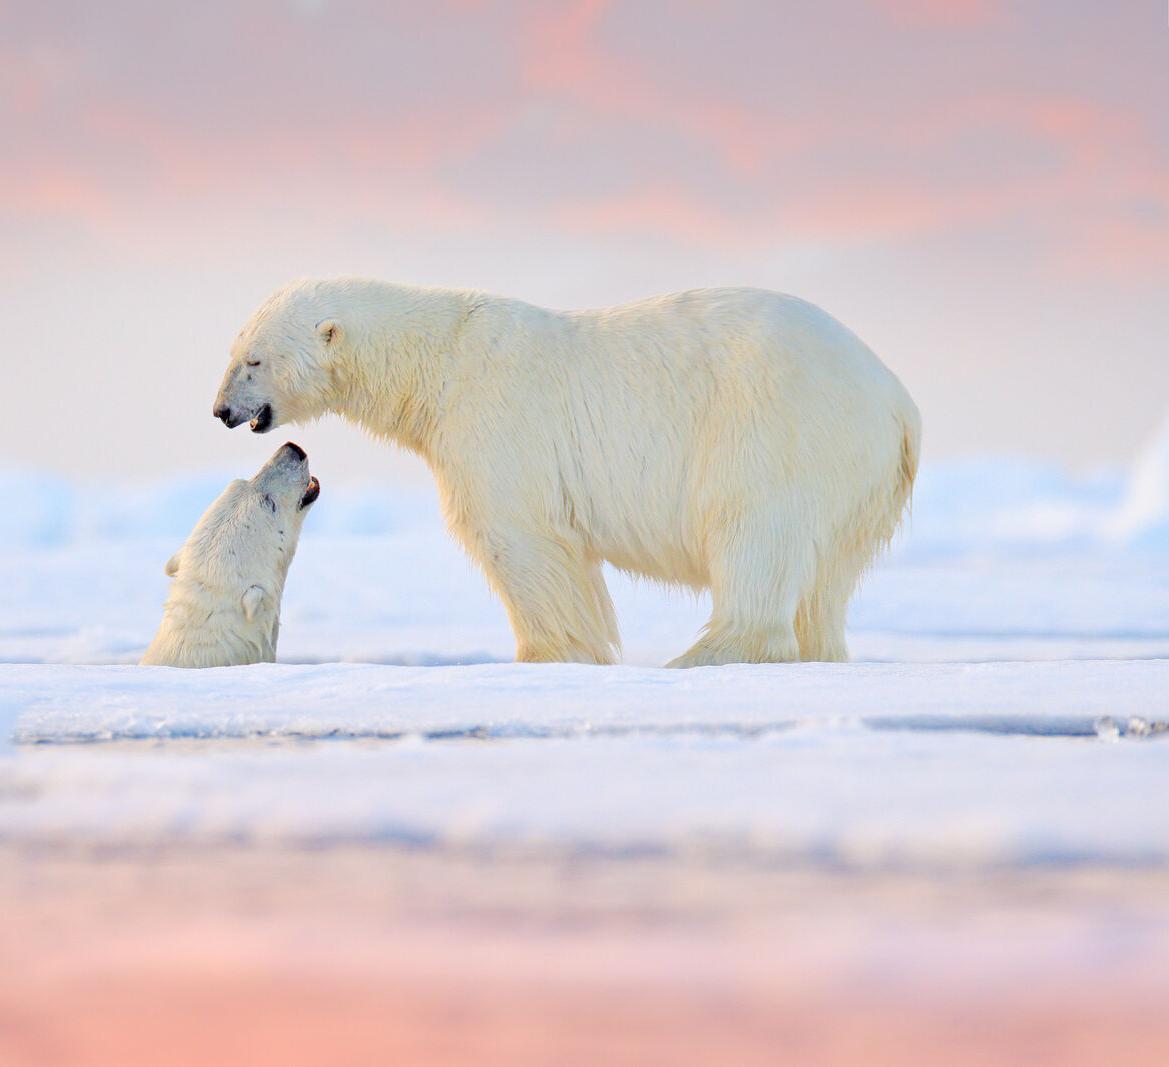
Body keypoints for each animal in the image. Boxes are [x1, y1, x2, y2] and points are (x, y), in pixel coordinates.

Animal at [215, 279, 916, 663]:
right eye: (236, 352)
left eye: (254, 360)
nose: (221, 410)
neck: (439, 360)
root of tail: (895, 400)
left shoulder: (495, 420)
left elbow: (519, 539)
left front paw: (553, 655)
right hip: (862, 480)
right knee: (826, 580)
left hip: (777, 426)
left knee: (754, 531)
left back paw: (700, 656)